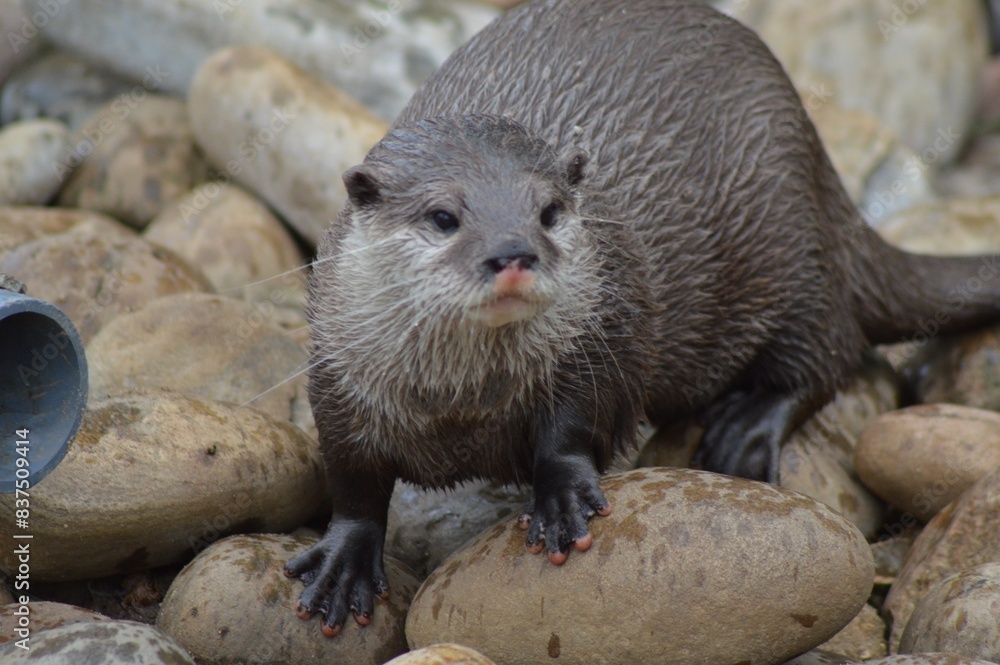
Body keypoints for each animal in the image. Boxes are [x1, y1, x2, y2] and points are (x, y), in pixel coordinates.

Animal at [286, 0, 1000, 632]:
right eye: (442, 216)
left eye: (549, 211)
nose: (513, 252)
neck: (462, 404)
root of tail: (818, 157)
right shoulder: (338, 377)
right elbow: (352, 479)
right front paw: (344, 564)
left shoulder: (606, 332)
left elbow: (576, 426)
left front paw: (562, 499)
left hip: (793, 253)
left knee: (830, 350)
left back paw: (744, 431)